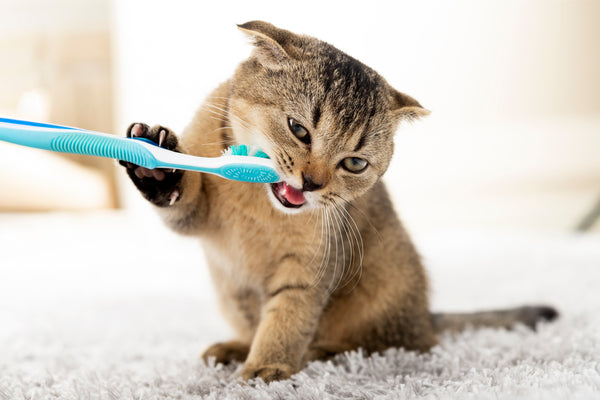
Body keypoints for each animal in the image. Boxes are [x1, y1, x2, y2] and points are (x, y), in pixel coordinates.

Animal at [122, 20, 556, 382]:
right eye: (298, 129)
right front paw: (156, 166)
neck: (260, 207)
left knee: (374, 346)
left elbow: (287, 319)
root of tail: (426, 317)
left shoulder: (310, 267)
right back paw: (234, 347)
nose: (311, 182)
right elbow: (182, 200)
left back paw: (316, 353)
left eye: (354, 163)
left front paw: (266, 368)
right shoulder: (196, 216)